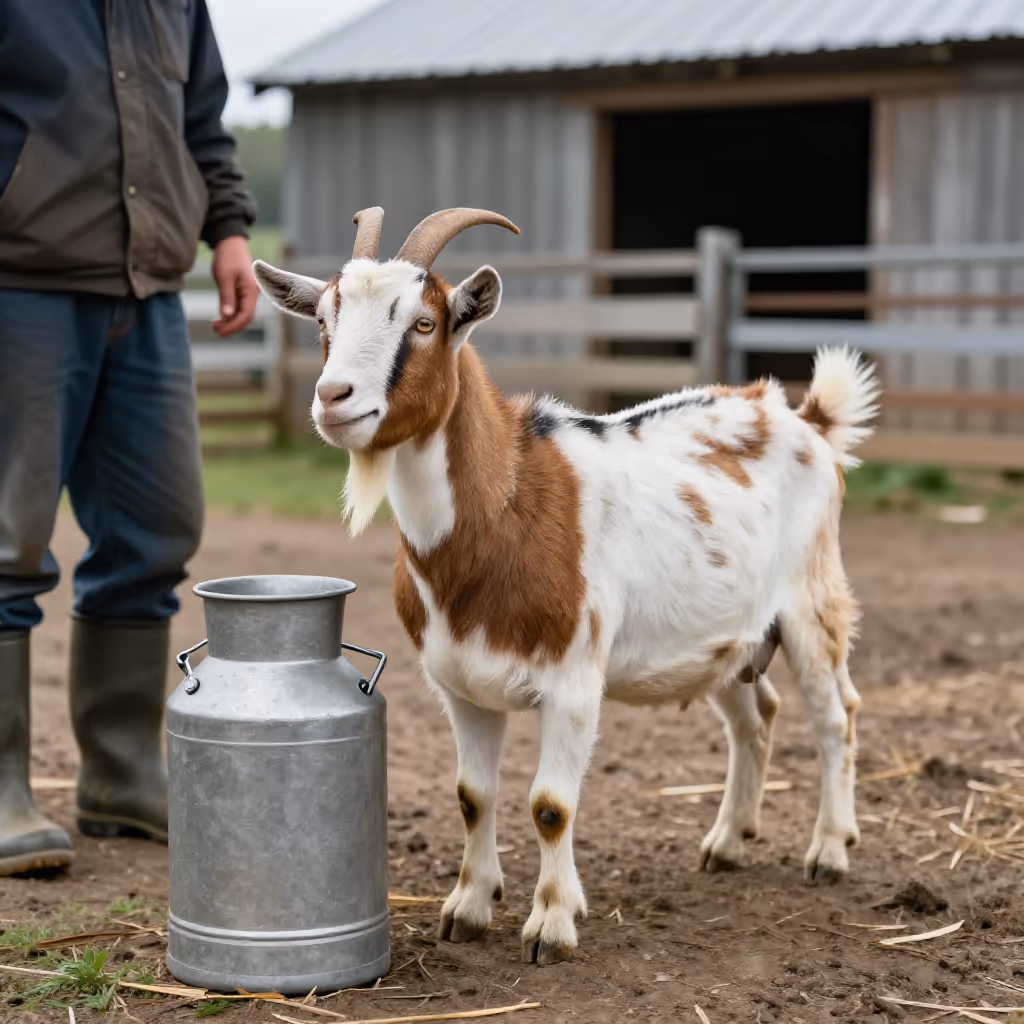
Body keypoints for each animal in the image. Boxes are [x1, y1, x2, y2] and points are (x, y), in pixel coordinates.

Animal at [253, 207, 880, 966]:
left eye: (424, 323)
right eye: (323, 319)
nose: (332, 398)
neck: (504, 509)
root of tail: (805, 419)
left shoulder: (575, 682)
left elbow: (551, 804)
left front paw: (551, 926)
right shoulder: (457, 685)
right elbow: (473, 795)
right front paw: (468, 909)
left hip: (812, 601)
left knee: (835, 714)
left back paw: (830, 851)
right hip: (724, 639)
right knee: (754, 717)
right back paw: (728, 843)